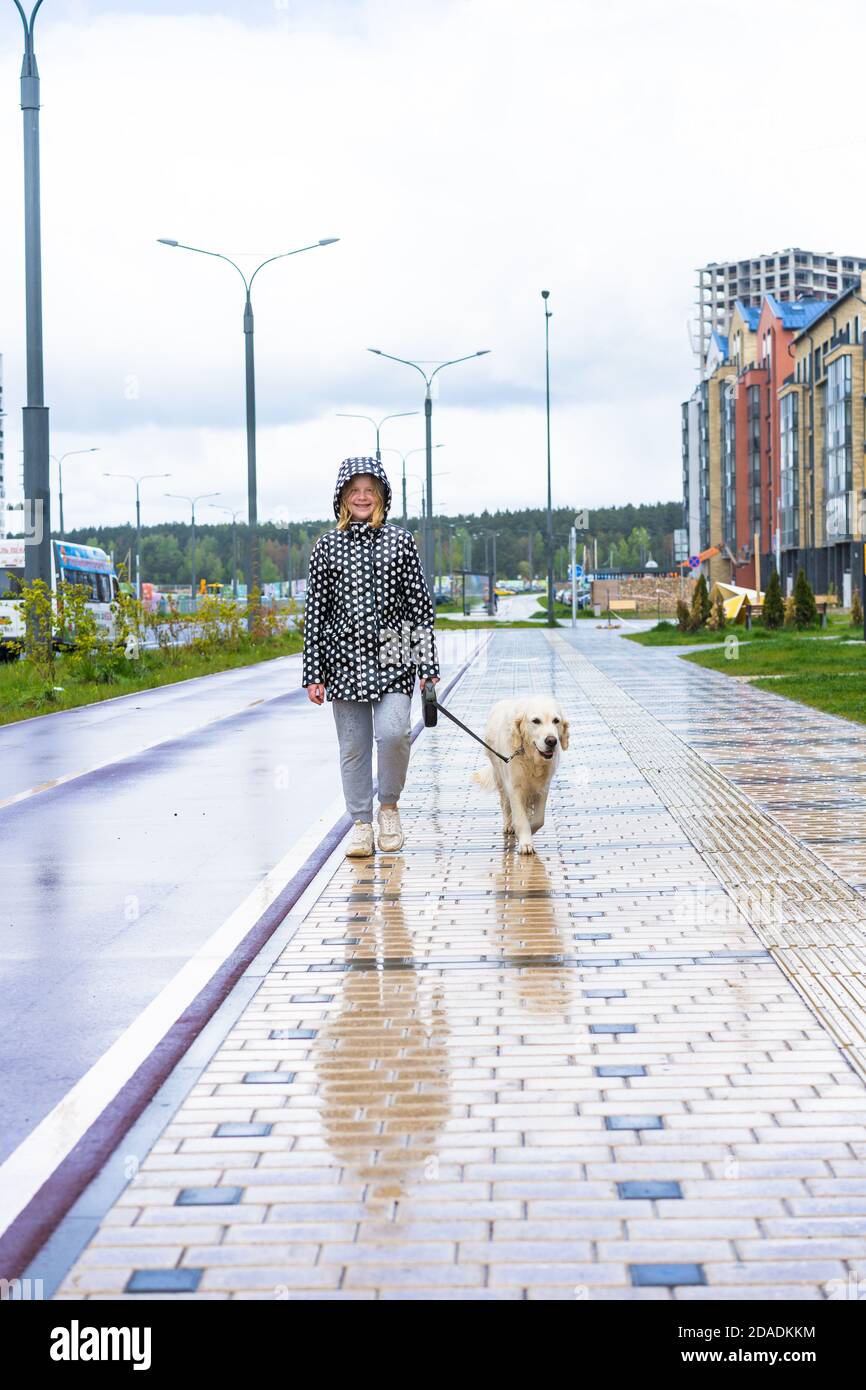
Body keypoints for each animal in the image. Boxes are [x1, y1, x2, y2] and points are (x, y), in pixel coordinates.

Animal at [475, 692, 569, 845]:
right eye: (536, 721)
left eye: (556, 721)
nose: (551, 741)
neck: (531, 758)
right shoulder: (514, 787)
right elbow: (520, 818)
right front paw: (525, 842)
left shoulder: (543, 787)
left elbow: (538, 820)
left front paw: (529, 830)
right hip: (499, 777)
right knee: (505, 804)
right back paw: (508, 825)